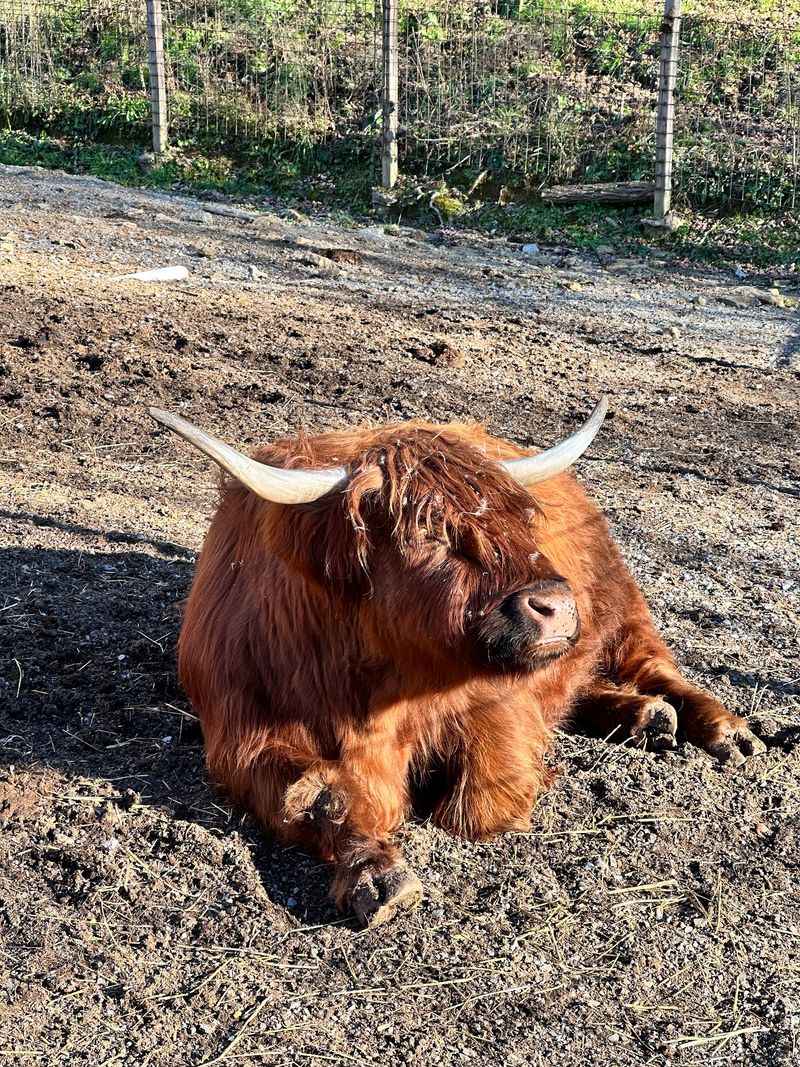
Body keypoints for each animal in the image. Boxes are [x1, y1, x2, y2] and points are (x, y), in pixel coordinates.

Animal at [149, 400, 764, 926]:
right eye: (428, 534)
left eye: (522, 520)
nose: (557, 606)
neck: (373, 696)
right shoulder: (240, 741)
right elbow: (315, 795)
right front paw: (377, 874)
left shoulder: (497, 703)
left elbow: (479, 802)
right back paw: (645, 718)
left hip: (619, 601)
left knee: (654, 666)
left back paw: (722, 730)